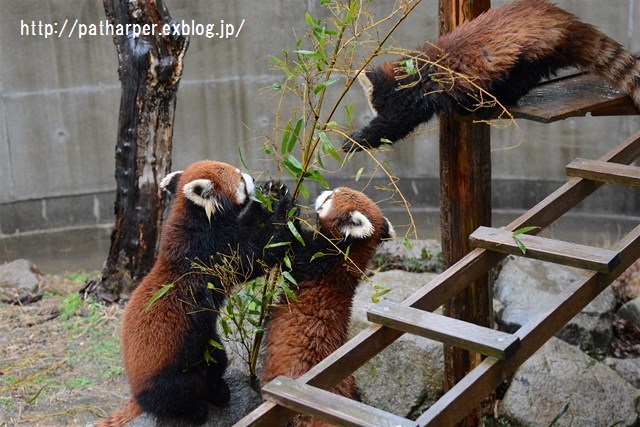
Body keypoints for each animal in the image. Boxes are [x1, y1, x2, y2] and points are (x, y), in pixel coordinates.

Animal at [99, 161, 292, 427]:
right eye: (241, 179)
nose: (253, 178)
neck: (197, 219)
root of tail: (136, 393)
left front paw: (274, 191)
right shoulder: (209, 253)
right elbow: (255, 254)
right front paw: (283, 206)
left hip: (208, 346)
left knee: (217, 361)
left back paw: (219, 390)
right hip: (168, 374)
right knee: (179, 394)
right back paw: (195, 410)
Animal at [262, 187, 396, 427]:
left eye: (329, 197)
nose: (325, 190)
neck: (344, 257)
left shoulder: (312, 262)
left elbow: (282, 242)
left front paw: (281, 198)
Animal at [344, 0, 640, 151]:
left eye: (372, 104)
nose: (369, 111)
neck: (413, 69)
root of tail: (565, 19)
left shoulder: (417, 94)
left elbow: (394, 124)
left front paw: (355, 140)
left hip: (532, 52)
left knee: (521, 78)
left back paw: (497, 101)